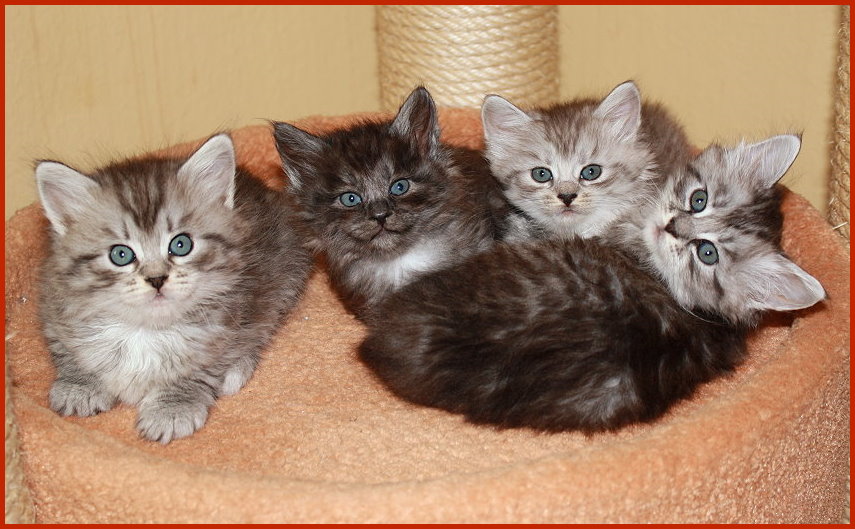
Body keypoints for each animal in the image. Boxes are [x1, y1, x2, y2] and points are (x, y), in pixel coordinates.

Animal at [36, 134, 312, 443]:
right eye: (121, 254)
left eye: (181, 245)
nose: (157, 279)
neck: (145, 330)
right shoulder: (54, 309)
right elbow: (68, 352)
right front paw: (78, 384)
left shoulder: (229, 324)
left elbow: (199, 368)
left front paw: (172, 407)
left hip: (286, 274)